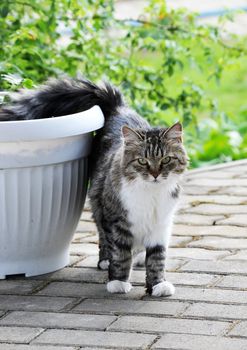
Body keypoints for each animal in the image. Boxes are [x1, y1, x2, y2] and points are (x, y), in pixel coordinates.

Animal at [0, 78, 187, 296]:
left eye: (166, 160)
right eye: (142, 161)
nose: (155, 174)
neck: (151, 194)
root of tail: (119, 108)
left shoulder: (161, 224)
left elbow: (157, 258)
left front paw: (157, 285)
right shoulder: (115, 219)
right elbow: (120, 254)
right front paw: (118, 282)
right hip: (98, 203)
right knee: (103, 238)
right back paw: (105, 262)